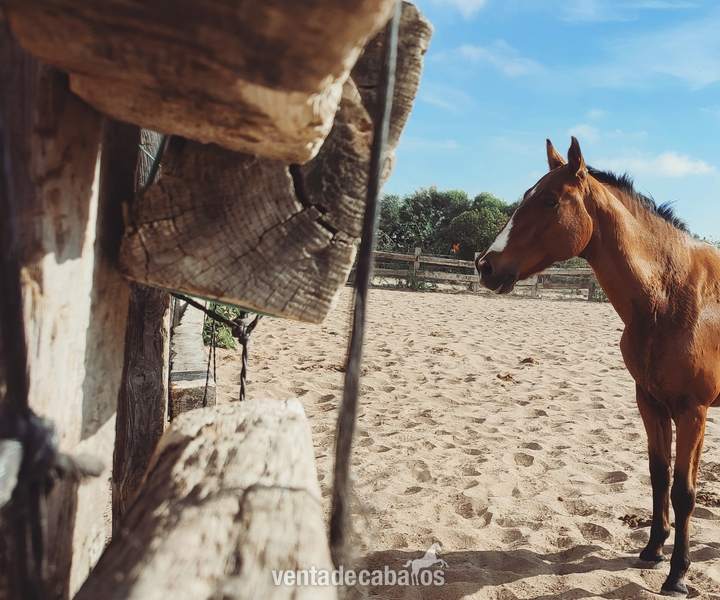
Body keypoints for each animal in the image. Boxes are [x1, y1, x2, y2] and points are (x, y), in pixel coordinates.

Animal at [476, 137, 720, 597]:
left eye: (550, 200)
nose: (486, 266)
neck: (672, 296)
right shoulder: (650, 402)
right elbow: (659, 475)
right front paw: (652, 550)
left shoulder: (692, 411)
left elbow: (684, 491)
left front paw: (678, 574)